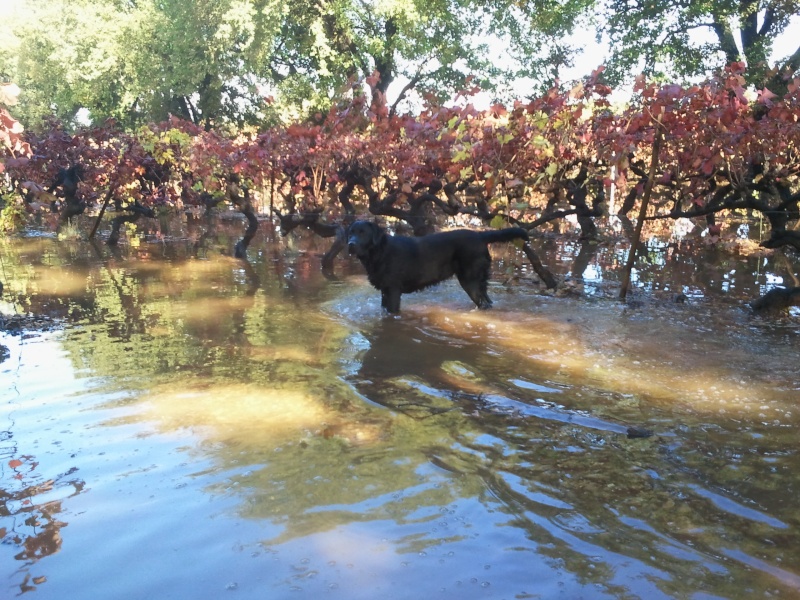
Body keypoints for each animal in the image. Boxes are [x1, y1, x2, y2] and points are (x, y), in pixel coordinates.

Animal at [346, 220, 528, 314]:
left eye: (363, 233)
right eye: (351, 232)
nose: (351, 244)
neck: (379, 252)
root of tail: (479, 235)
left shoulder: (393, 290)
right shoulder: (385, 291)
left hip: (470, 281)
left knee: (483, 303)